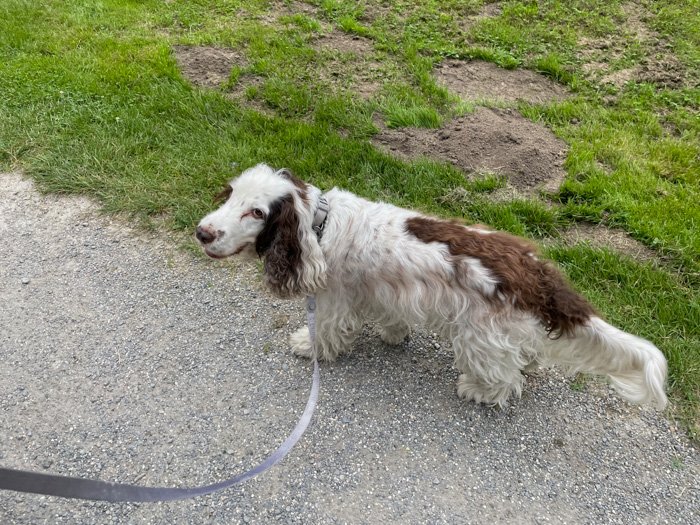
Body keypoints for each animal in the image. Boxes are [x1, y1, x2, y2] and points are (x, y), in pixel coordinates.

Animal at [196, 164, 667, 409]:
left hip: (479, 337)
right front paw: (393, 336)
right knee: (526, 355)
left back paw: (477, 390)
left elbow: (326, 333)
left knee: (504, 380)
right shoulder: (381, 292)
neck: (319, 225)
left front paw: (307, 346)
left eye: (257, 212)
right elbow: (391, 320)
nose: (202, 232)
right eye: (230, 194)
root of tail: (535, 272)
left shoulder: (334, 300)